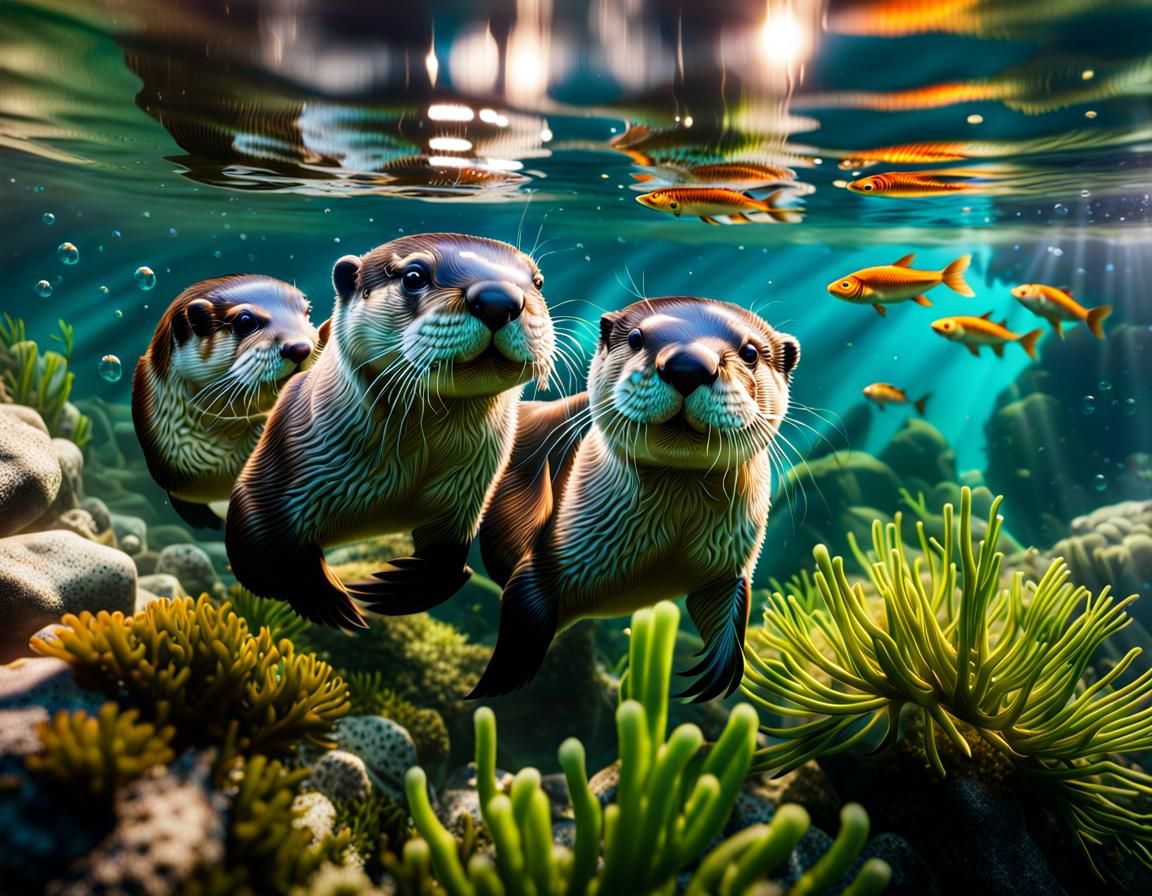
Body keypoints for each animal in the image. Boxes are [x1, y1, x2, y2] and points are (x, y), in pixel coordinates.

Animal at [225, 234, 556, 630]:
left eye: (538, 282)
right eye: (414, 276)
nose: (499, 299)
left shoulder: (468, 493)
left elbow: (450, 560)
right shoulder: (273, 475)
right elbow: (263, 554)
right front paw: (325, 599)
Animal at [472, 296, 800, 702]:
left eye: (751, 352)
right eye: (635, 338)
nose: (687, 365)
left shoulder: (732, 565)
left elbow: (727, 609)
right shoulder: (548, 559)